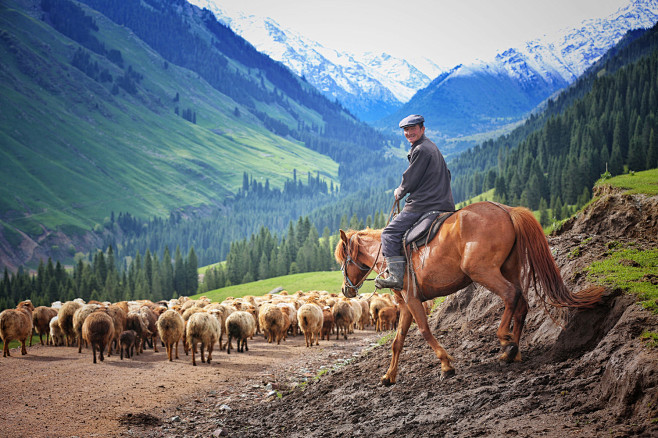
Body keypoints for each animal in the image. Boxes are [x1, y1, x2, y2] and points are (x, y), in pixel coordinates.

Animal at [336, 200, 604, 384]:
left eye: (342, 260)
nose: (345, 290)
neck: (386, 254)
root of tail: (506, 210)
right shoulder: (405, 305)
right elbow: (397, 341)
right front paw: (389, 376)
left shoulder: (412, 300)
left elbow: (424, 331)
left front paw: (446, 365)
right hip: (510, 269)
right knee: (522, 304)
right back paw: (513, 352)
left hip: (483, 271)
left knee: (511, 296)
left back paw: (505, 341)